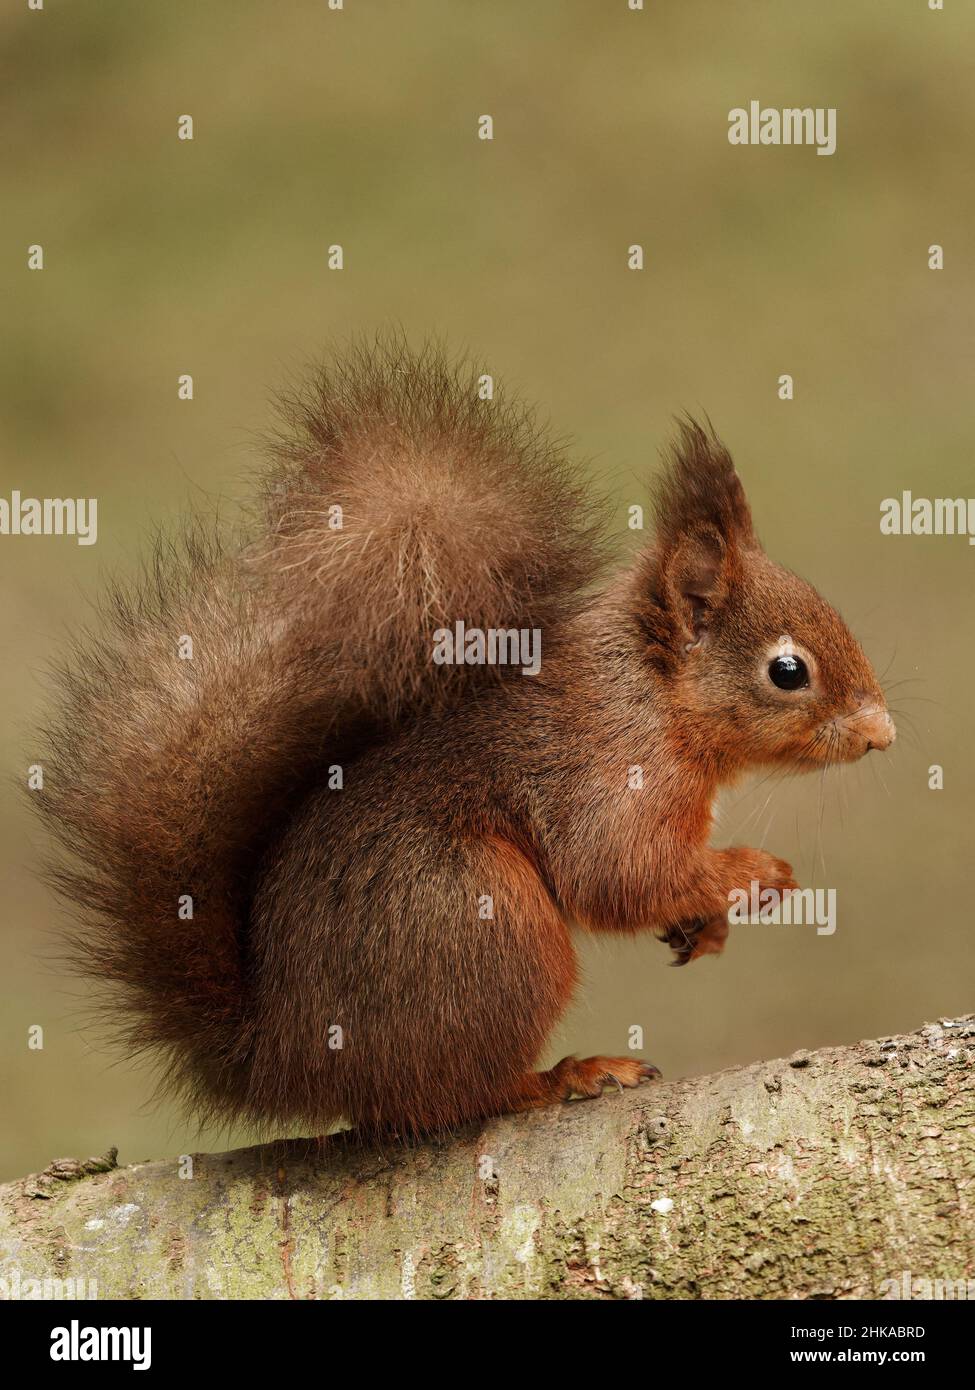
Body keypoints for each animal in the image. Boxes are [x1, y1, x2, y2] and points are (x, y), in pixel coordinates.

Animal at [36, 339, 890, 1139]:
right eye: (787, 671)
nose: (881, 733)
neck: (653, 693)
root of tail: (282, 1060)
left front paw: (707, 920)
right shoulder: (611, 768)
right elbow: (616, 872)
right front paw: (757, 873)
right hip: (483, 927)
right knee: (455, 1098)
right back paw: (561, 1077)